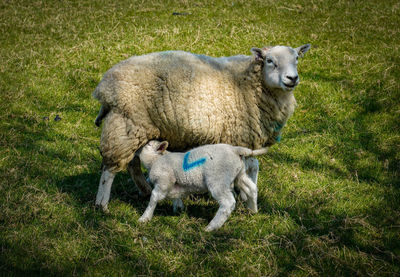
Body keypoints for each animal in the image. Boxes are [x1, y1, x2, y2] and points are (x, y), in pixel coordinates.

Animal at [93, 44, 310, 210]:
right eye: (270, 61)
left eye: (297, 59)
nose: (292, 78)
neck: (248, 83)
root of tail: (104, 85)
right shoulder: (241, 135)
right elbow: (251, 166)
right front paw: (246, 198)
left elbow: (252, 166)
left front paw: (244, 196)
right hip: (126, 125)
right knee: (110, 169)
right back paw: (102, 205)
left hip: (136, 128)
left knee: (132, 163)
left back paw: (144, 190)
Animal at [139, 139, 268, 230]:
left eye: (148, 144)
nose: (139, 147)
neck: (155, 160)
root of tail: (235, 150)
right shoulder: (173, 184)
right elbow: (176, 197)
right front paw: (178, 209)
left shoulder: (163, 182)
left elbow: (154, 198)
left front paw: (145, 218)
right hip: (239, 174)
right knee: (252, 188)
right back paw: (253, 210)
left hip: (218, 180)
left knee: (228, 202)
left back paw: (211, 227)